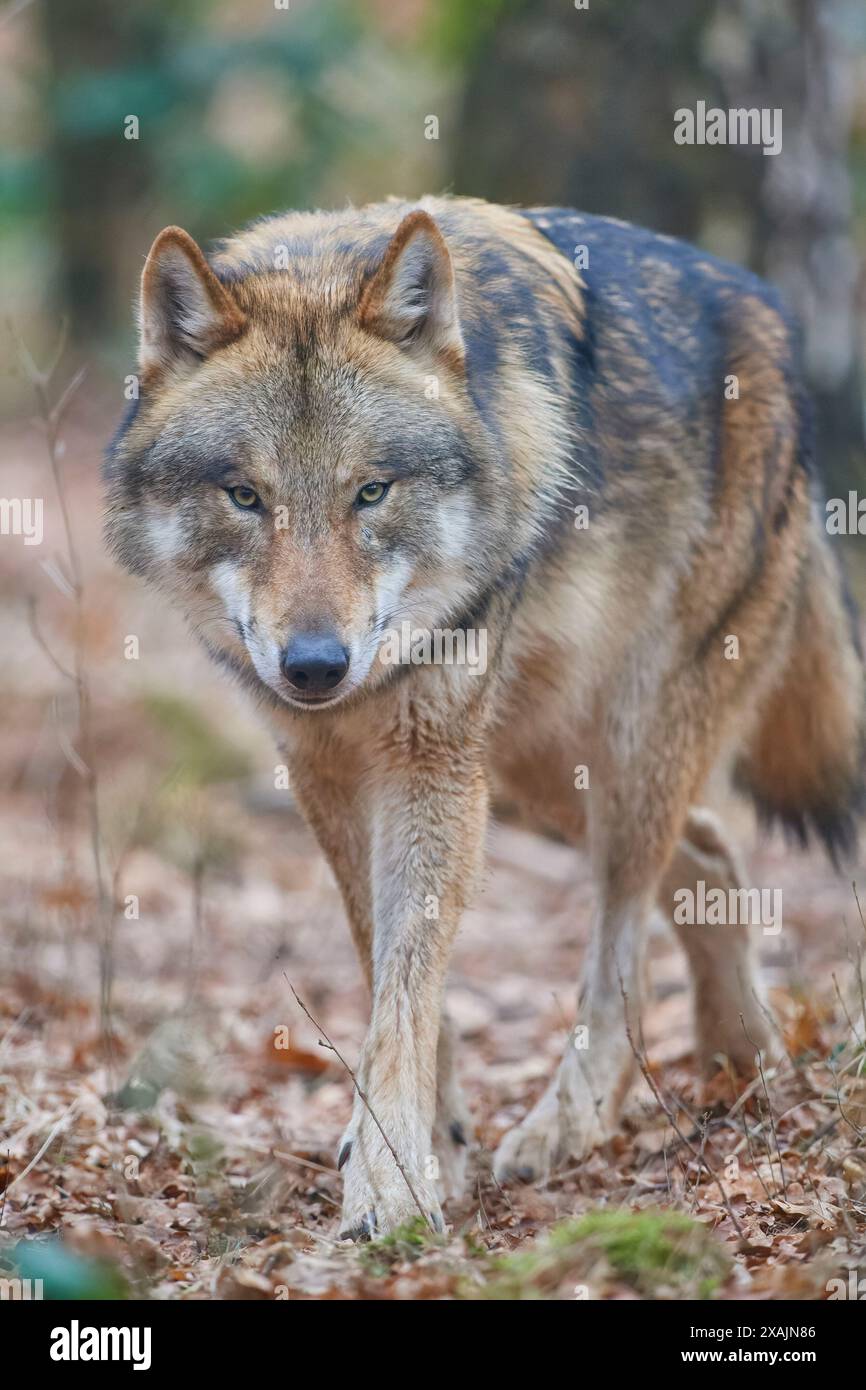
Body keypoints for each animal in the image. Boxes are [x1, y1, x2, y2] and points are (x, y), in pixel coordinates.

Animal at [105, 195, 864, 1239]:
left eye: (370, 491)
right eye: (246, 497)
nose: (315, 667)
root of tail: (770, 315)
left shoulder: (427, 764)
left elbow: (407, 981)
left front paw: (390, 1183)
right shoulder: (328, 769)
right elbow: (386, 963)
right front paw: (435, 1143)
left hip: (613, 749)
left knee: (624, 937)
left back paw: (570, 1120)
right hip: (533, 774)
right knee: (709, 855)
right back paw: (742, 1061)